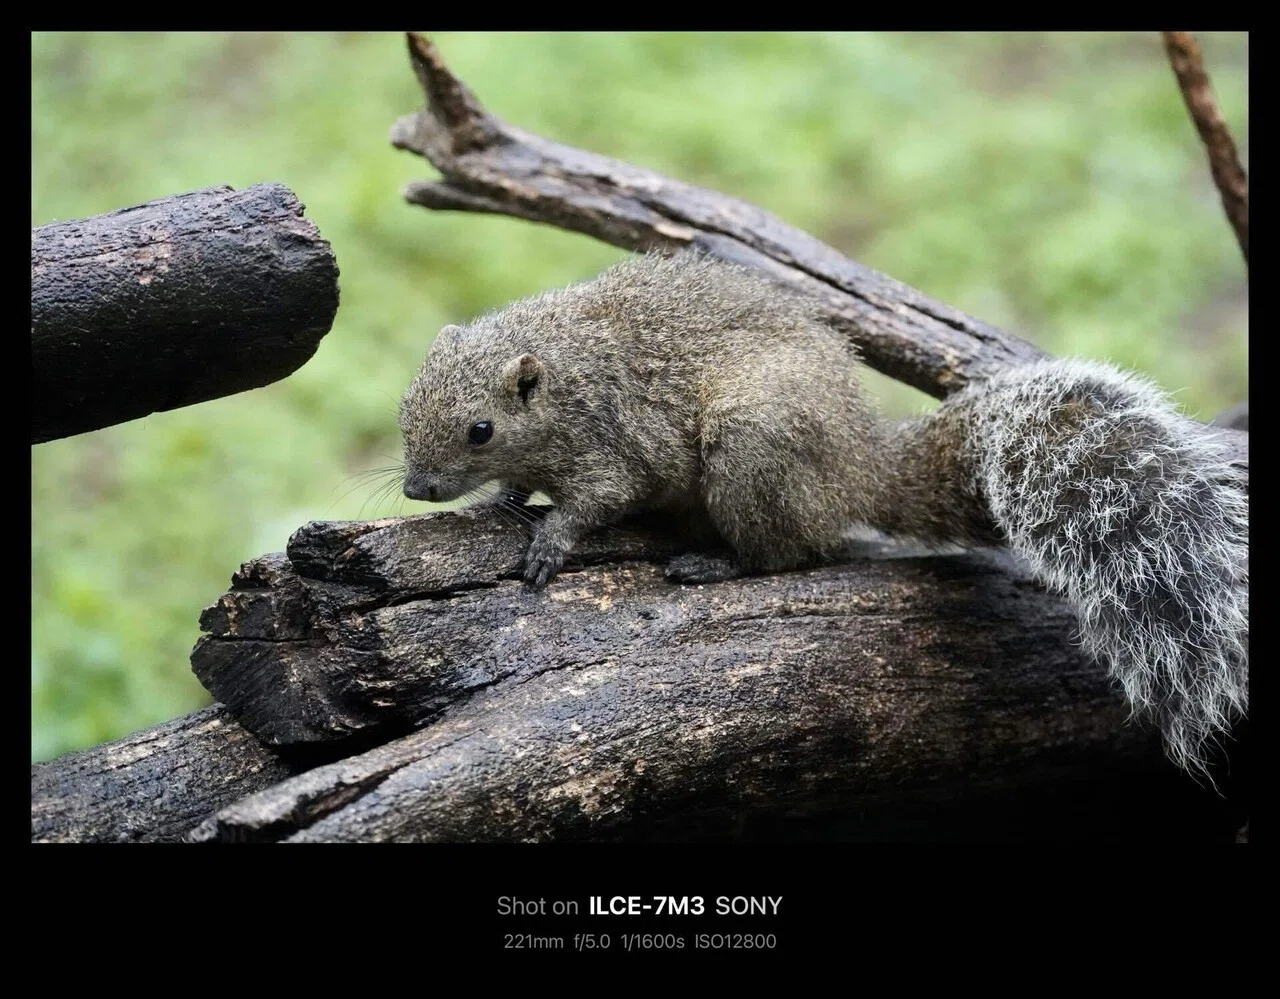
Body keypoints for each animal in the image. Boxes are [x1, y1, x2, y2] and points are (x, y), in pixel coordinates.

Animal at [399, 250, 1248, 777]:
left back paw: (712, 561)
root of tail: (861, 472)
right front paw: (508, 498)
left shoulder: (612, 448)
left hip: (750, 448)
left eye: (480, 429)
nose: (413, 487)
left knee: (786, 553)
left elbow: (596, 501)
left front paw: (550, 540)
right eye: (408, 399)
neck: (561, 370)